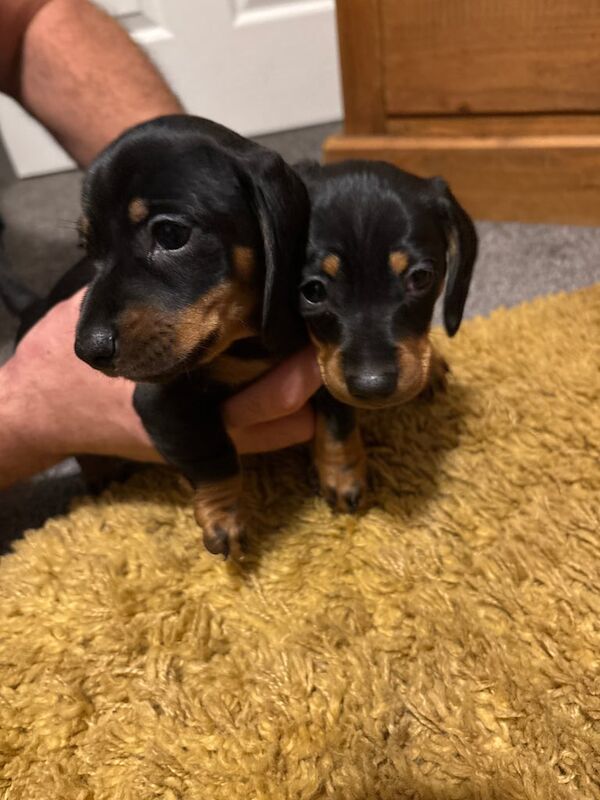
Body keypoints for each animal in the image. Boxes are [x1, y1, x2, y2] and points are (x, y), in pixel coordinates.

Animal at [296, 161, 478, 512]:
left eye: (420, 278)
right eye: (312, 291)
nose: (373, 386)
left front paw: (429, 364)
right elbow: (336, 409)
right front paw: (343, 472)